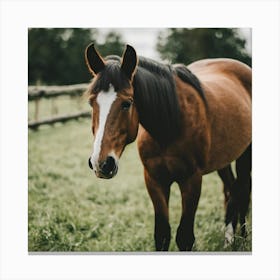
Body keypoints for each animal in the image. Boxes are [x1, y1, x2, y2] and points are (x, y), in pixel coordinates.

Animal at [85, 43, 252, 252]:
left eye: (127, 103)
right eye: (91, 102)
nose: (101, 163)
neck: (169, 126)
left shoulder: (191, 180)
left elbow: (185, 237)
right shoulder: (155, 180)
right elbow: (162, 235)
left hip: (245, 155)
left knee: (242, 192)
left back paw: (241, 238)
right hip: (224, 159)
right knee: (230, 191)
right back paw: (229, 239)